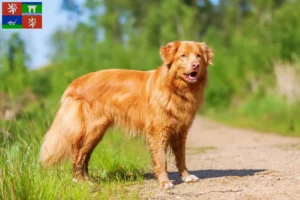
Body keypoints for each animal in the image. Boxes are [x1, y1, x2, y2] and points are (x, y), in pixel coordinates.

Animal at [39, 40, 213, 188]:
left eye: (198, 56)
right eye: (183, 55)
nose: (196, 65)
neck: (176, 88)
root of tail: (75, 82)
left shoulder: (181, 131)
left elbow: (181, 157)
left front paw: (186, 176)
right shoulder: (158, 131)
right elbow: (161, 159)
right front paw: (165, 182)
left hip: (96, 133)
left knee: (85, 156)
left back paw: (87, 179)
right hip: (91, 129)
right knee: (78, 155)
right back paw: (81, 181)